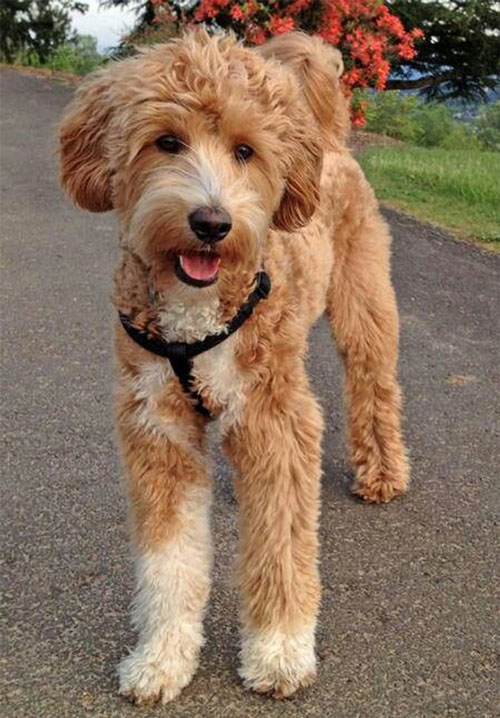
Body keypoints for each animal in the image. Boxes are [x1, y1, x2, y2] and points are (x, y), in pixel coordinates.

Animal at [59, 29, 410, 708]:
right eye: (167, 142)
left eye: (245, 151)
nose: (212, 222)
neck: (196, 316)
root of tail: (327, 142)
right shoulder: (157, 429)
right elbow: (169, 561)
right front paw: (161, 658)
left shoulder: (276, 420)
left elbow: (280, 549)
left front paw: (278, 654)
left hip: (364, 300)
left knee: (373, 382)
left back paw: (382, 473)